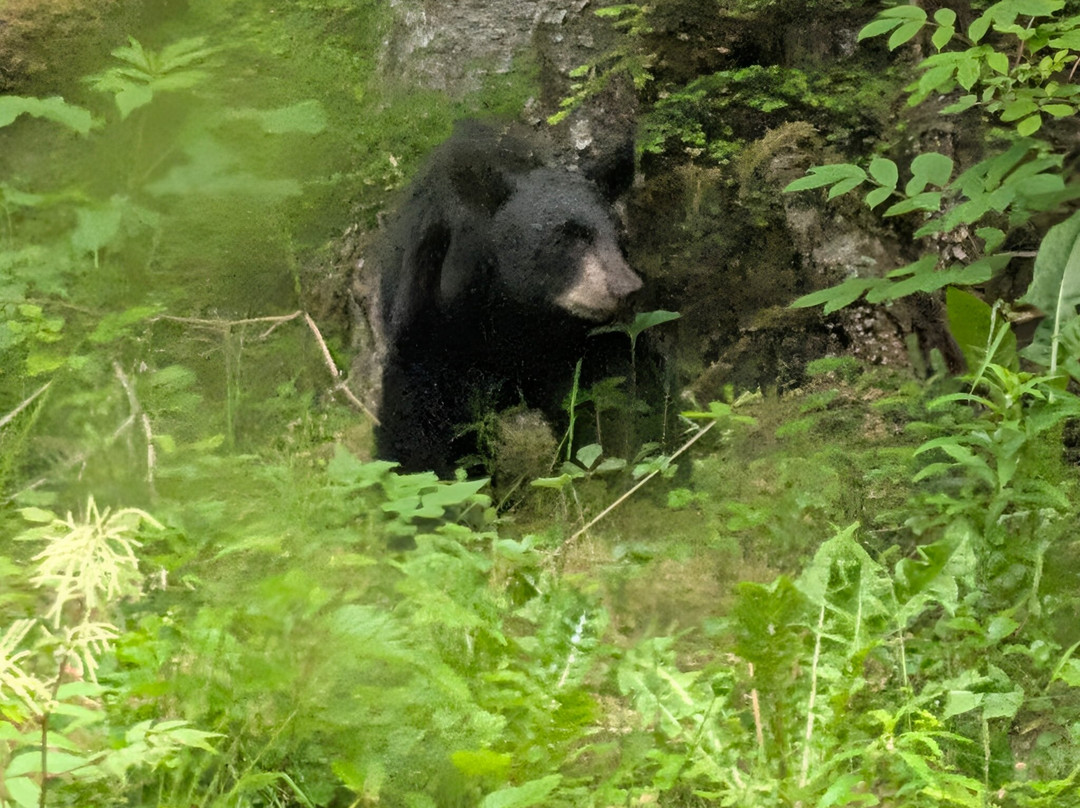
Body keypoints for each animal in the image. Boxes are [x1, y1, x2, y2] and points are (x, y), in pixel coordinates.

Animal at [373, 121, 644, 476]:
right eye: (566, 237)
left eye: (618, 234)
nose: (627, 287)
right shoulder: (429, 324)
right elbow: (418, 420)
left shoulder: (581, 344)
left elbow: (603, 395)